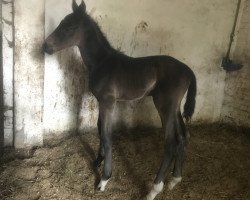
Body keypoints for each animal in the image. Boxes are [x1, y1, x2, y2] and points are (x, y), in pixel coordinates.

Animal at [43, 0, 197, 199]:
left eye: (70, 27)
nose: (45, 46)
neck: (102, 63)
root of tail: (187, 70)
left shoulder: (108, 102)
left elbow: (107, 135)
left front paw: (104, 179)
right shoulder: (100, 101)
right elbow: (100, 129)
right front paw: (97, 161)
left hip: (165, 106)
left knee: (171, 143)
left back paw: (154, 190)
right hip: (175, 107)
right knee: (183, 137)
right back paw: (175, 179)